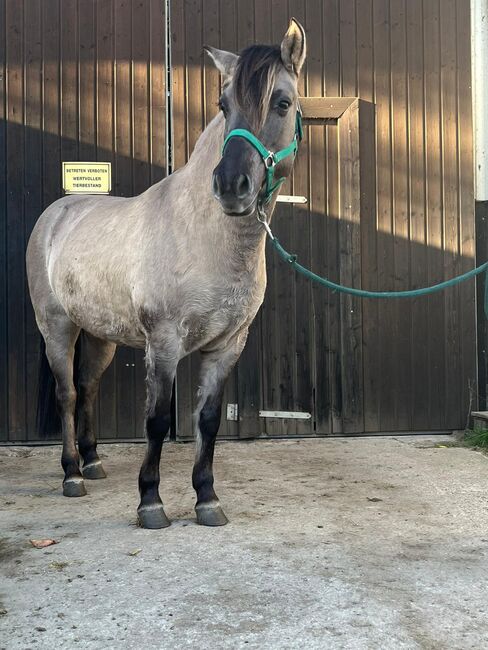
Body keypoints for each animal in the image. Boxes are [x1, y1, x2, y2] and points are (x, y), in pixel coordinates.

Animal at [26, 19, 304, 528]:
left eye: (282, 102)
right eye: (223, 105)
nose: (231, 186)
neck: (206, 237)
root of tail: (56, 213)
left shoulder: (227, 345)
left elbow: (208, 421)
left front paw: (208, 499)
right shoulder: (165, 343)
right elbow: (156, 421)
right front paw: (151, 502)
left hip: (102, 335)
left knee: (87, 386)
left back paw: (93, 462)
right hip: (58, 327)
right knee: (68, 394)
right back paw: (72, 474)